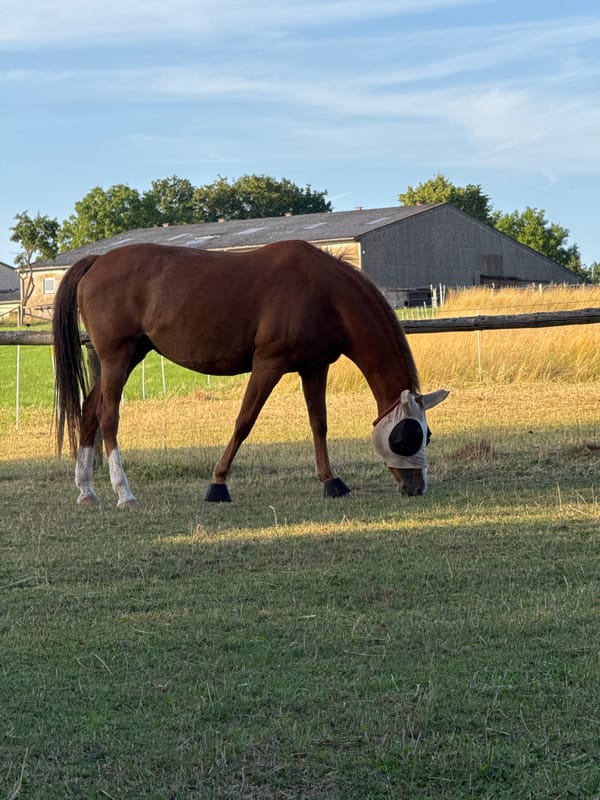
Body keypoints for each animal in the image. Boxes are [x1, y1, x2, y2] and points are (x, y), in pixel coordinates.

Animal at [52, 240, 448, 508]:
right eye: (406, 436)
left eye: (427, 435)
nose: (416, 487)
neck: (325, 294)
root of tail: (97, 261)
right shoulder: (268, 364)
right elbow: (245, 421)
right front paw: (217, 484)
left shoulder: (314, 367)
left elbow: (318, 424)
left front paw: (331, 482)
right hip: (117, 358)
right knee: (108, 416)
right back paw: (124, 492)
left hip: (130, 355)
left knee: (89, 411)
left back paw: (86, 490)